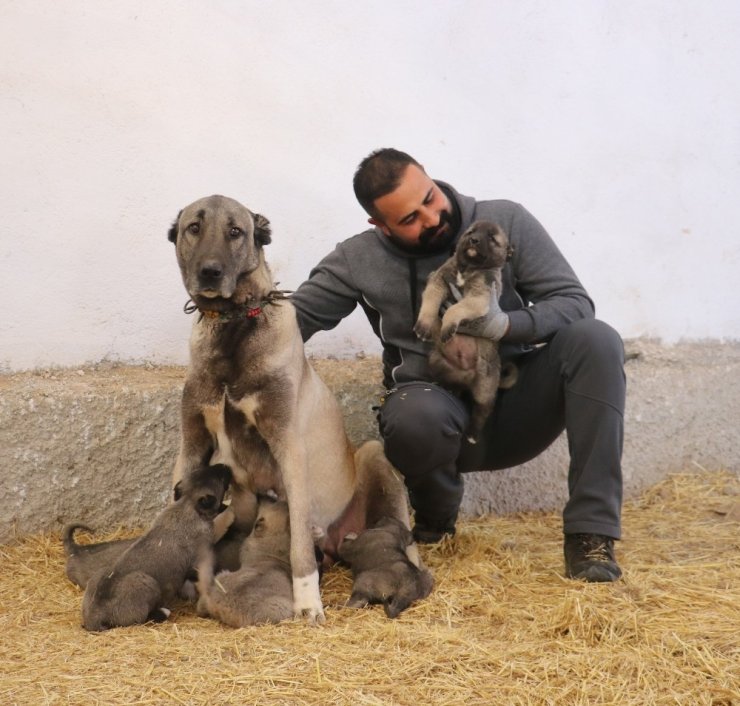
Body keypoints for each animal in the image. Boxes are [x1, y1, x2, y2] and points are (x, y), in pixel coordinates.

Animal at [81, 464, 231, 628]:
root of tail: (96, 615)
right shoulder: (200, 560)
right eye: (220, 479)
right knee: (143, 619)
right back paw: (162, 612)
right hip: (147, 583)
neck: (187, 505)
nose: (225, 466)